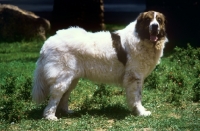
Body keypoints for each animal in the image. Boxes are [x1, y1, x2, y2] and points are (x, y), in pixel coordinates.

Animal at [32, 10, 168, 120]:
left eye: (159, 20)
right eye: (148, 20)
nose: (154, 26)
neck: (141, 37)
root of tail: (47, 43)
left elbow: (137, 96)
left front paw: (140, 111)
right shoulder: (134, 77)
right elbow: (137, 97)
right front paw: (140, 112)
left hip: (72, 78)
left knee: (65, 94)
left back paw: (66, 112)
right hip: (63, 76)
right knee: (56, 94)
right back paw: (50, 116)